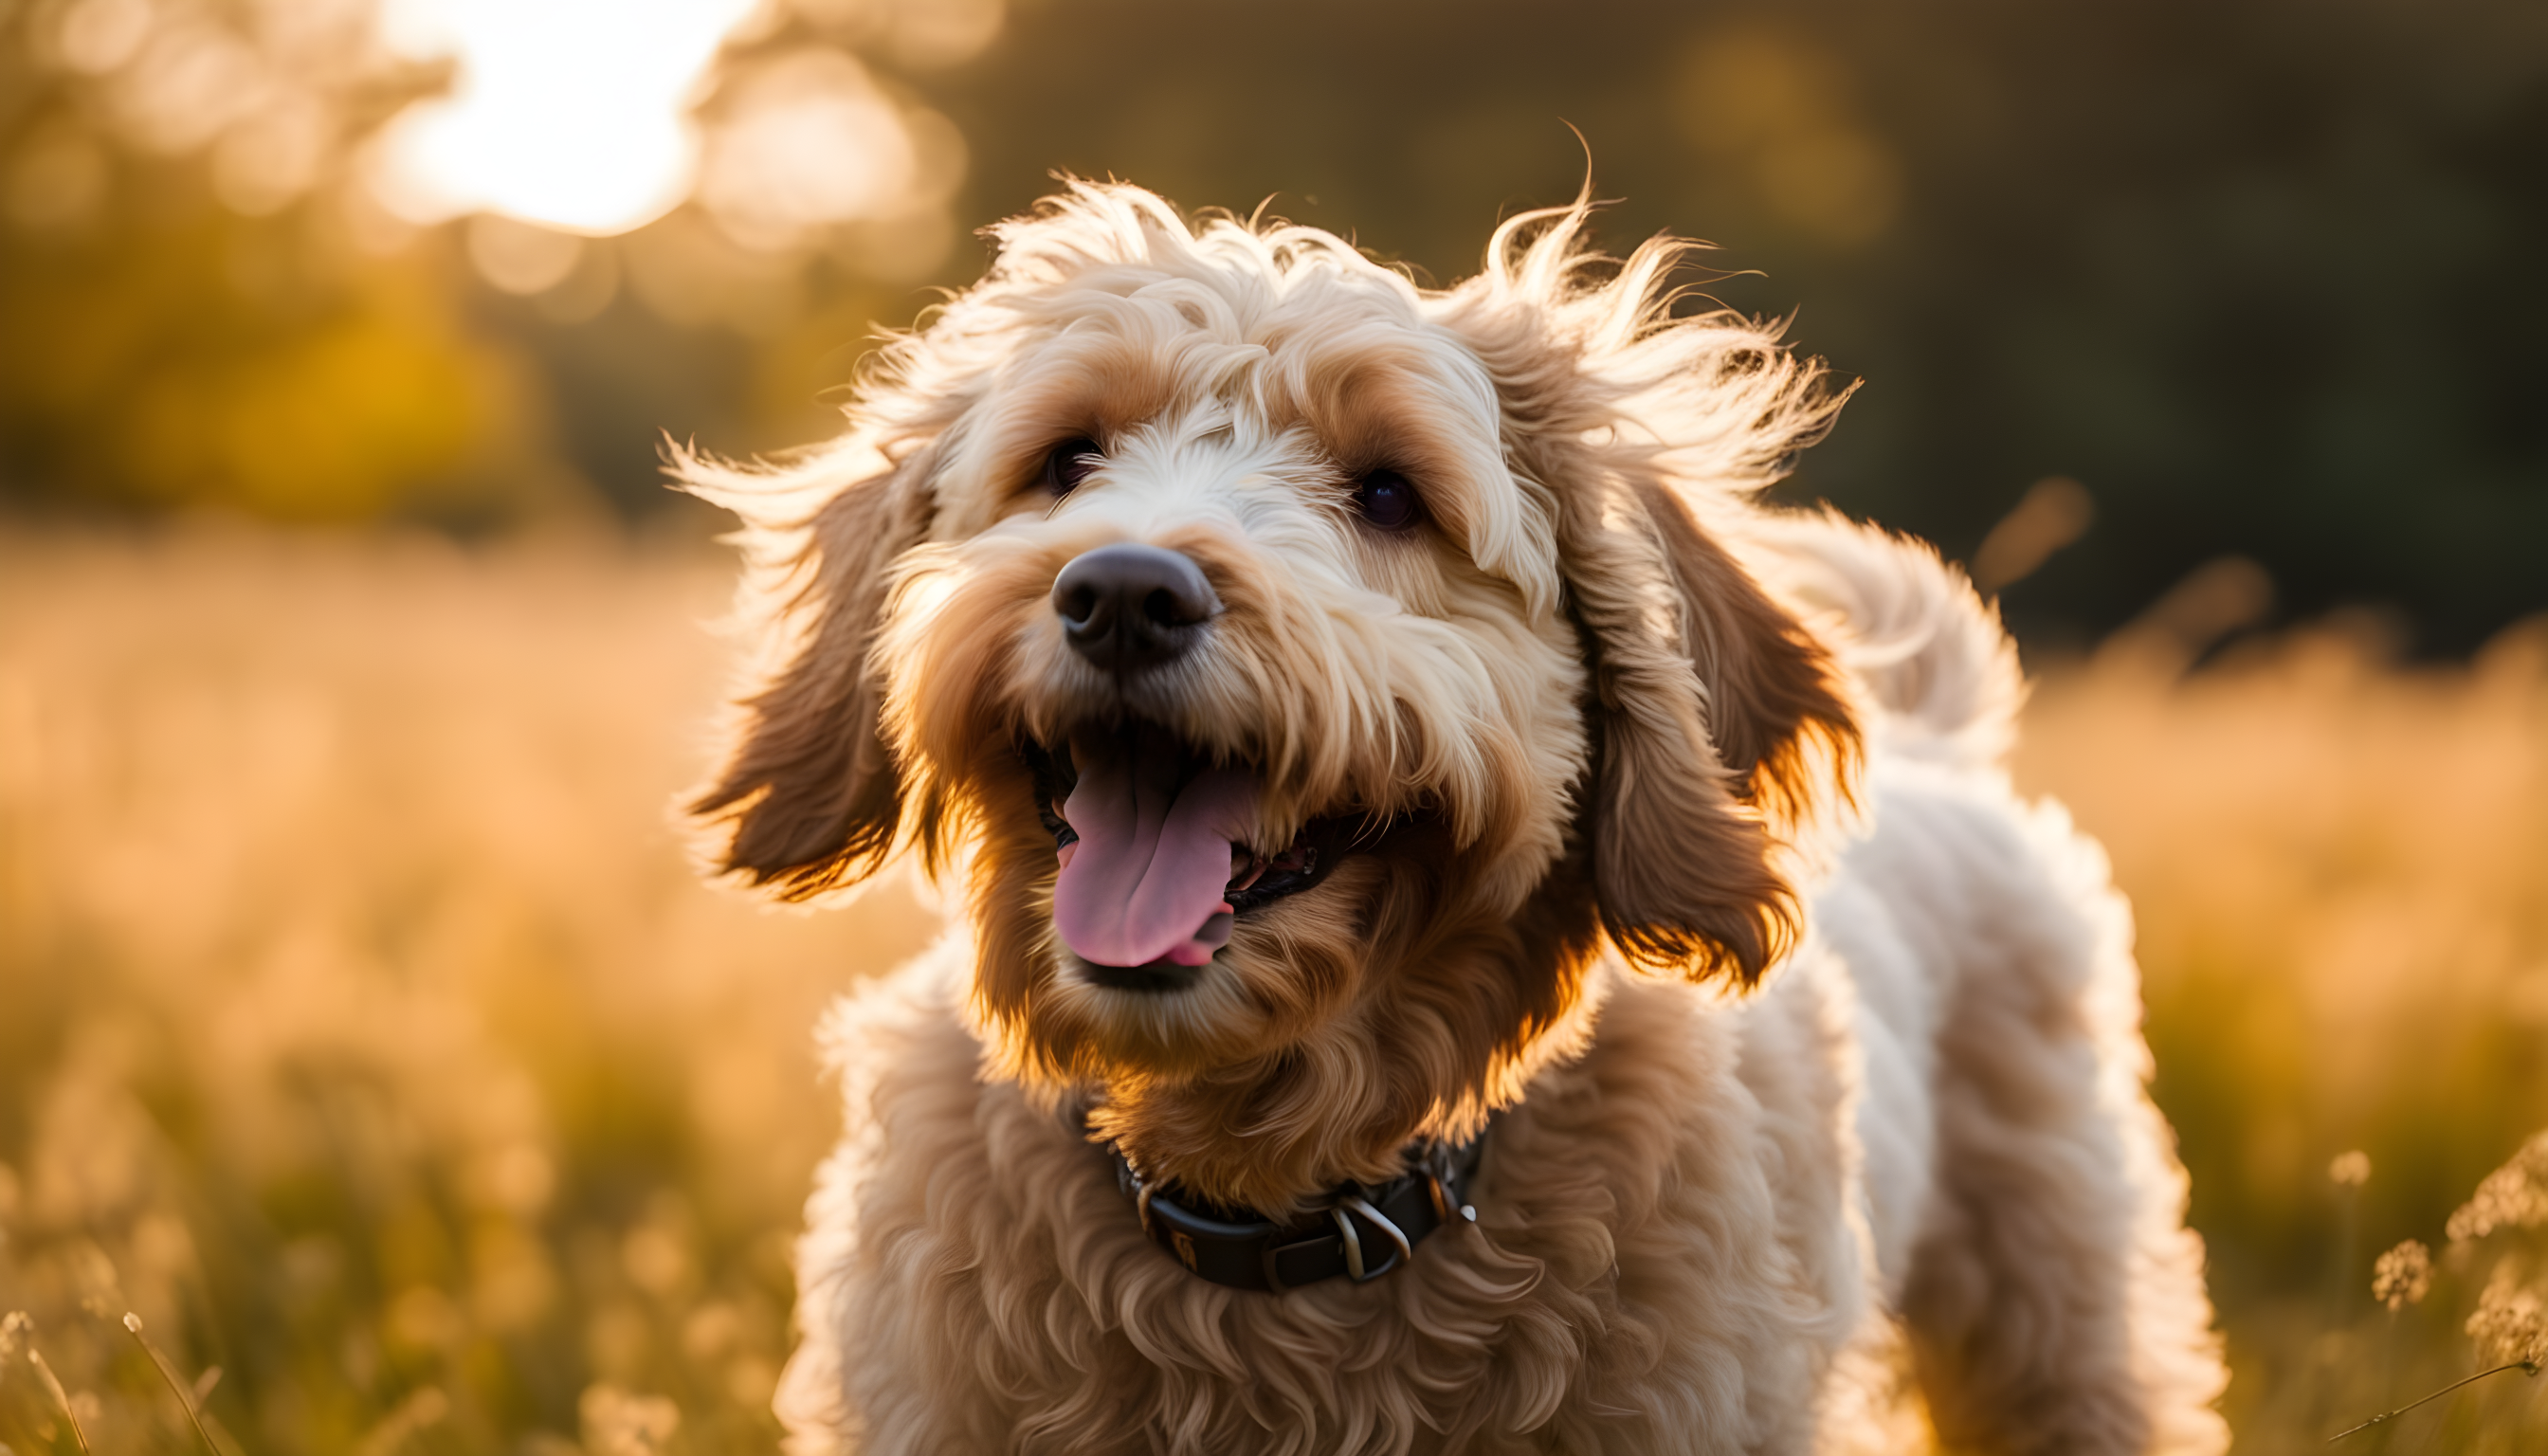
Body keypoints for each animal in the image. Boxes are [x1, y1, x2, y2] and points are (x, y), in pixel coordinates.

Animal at [682, 185, 2231, 1456]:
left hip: (2062, 1297)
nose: (1122, 591)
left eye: (1388, 493)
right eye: (1069, 459)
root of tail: (1937, 738)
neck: (1274, 1192)